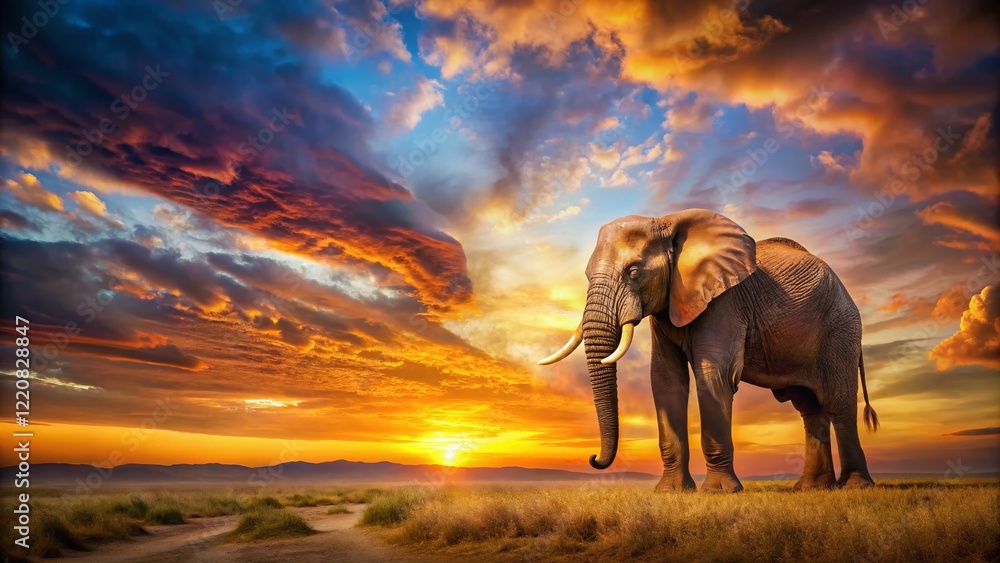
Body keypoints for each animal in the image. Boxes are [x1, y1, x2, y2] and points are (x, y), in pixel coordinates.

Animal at [538, 209, 879, 492]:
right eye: (585, 276)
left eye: (634, 271)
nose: (593, 458)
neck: (666, 221)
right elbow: (665, 380)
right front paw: (671, 492)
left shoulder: (724, 301)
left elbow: (712, 373)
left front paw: (719, 492)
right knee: (808, 407)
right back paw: (812, 488)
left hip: (840, 329)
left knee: (838, 403)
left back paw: (855, 486)